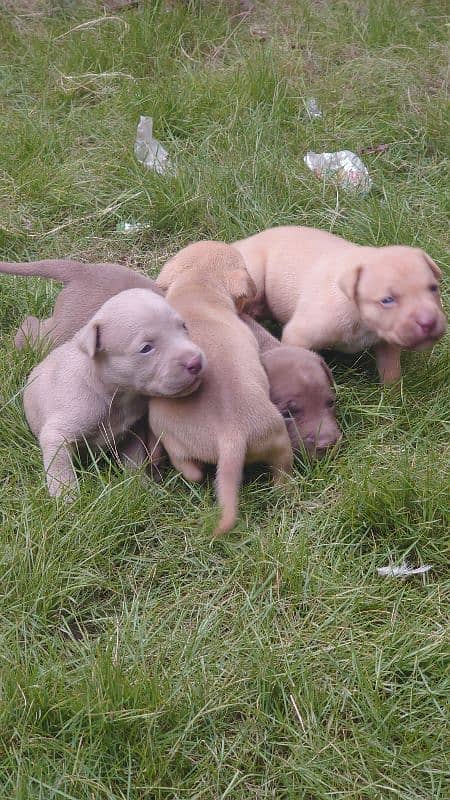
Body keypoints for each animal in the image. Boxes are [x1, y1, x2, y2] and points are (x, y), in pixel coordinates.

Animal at [24, 288, 206, 496]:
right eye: (146, 348)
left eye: (183, 326)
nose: (195, 361)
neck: (117, 396)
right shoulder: (57, 434)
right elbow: (60, 469)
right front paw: (67, 497)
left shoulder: (132, 431)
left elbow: (134, 461)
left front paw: (142, 485)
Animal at [149, 239, 294, 536]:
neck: (196, 287)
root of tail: (231, 434)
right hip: (278, 439)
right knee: (282, 472)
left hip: (168, 428)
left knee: (189, 468)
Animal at [234, 225, 448, 384]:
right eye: (387, 300)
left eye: (433, 288)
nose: (429, 322)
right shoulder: (299, 335)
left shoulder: (387, 341)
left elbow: (390, 369)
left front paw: (393, 399)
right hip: (252, 274)